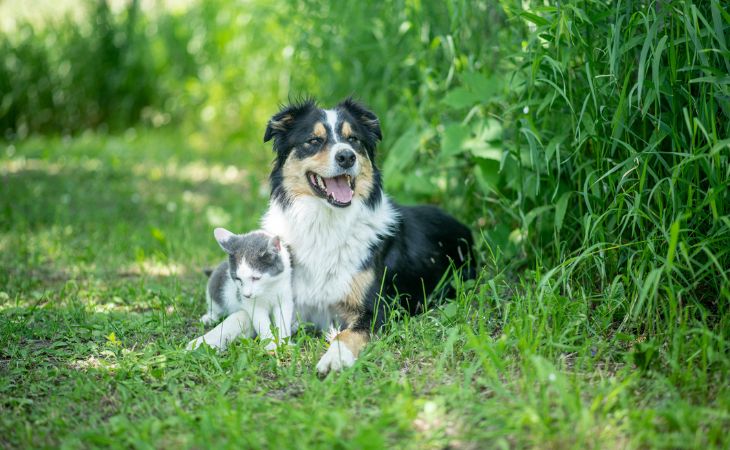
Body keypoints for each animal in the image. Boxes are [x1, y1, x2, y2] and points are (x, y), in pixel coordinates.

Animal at [258, 99, 474, 376]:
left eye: (353, 139)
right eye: (313, 140)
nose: (346, 156)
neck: (326, 225)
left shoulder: (378, 308)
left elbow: (346, 334)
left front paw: (335, 358)